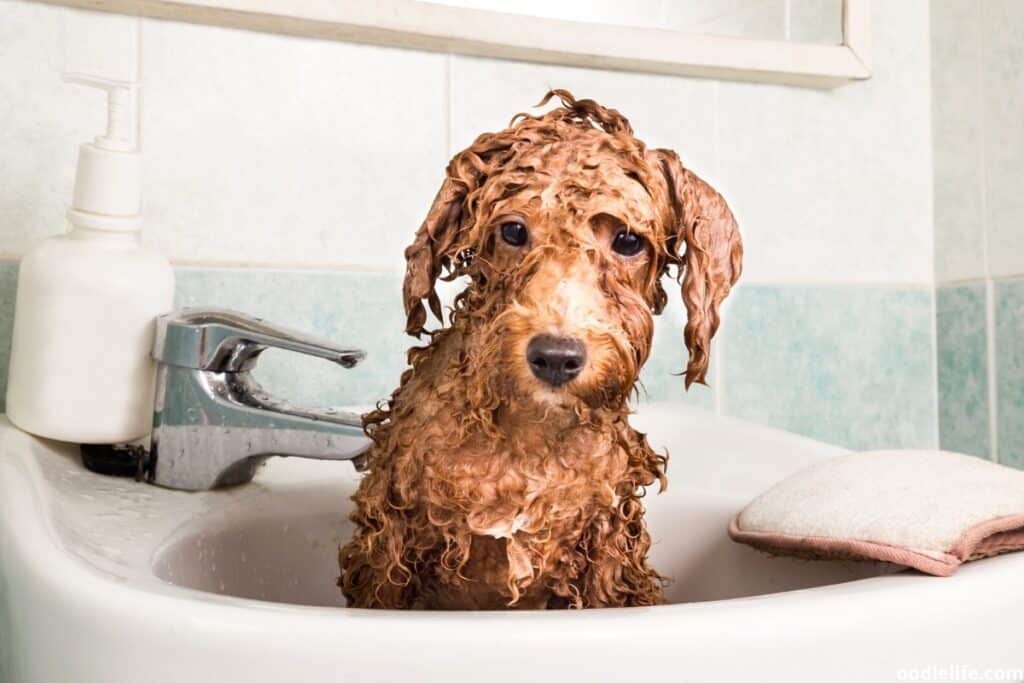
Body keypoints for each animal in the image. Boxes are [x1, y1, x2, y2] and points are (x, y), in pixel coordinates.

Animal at [339, 89, 741, 610]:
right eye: (513, 231)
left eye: (628, 240)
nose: (556, 356)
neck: (529, 444)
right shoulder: (389, 547)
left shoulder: (608, 552)